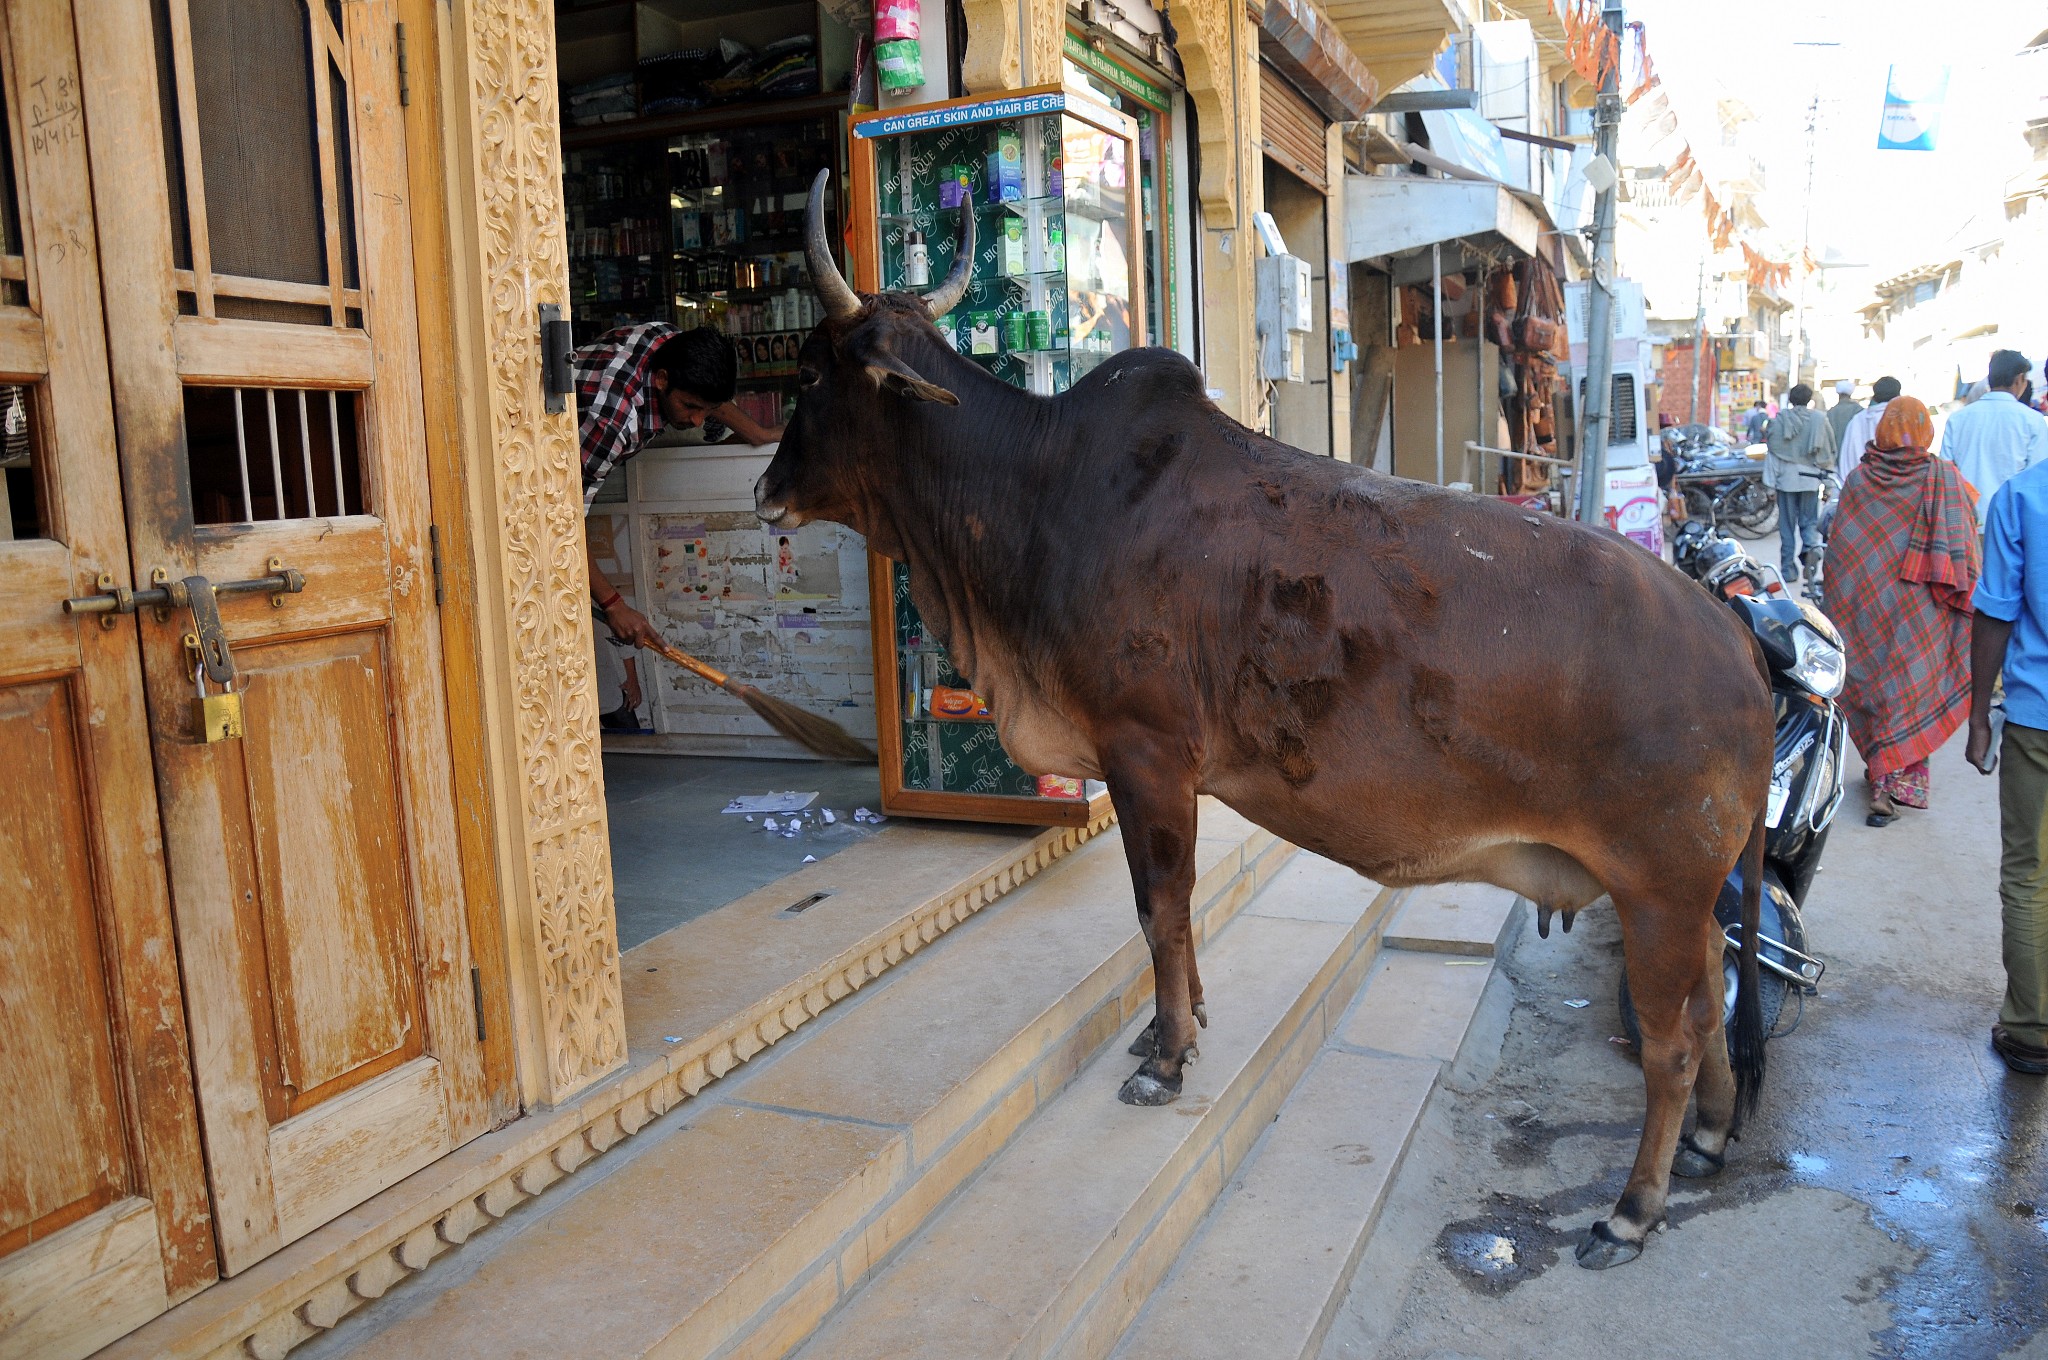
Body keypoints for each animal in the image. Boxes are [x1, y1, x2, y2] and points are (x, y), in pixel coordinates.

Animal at [761, 175, 1785, 1269]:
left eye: (811, 372)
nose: (764, 488)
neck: (1032, 494)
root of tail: (1729, 631)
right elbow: (1166, 917)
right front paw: (1176, 1025)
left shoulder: (1146, 756)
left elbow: (1160, 908)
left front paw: (1166, 1056)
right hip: (1684, 896)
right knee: (1713, 992)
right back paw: (1707, 1141)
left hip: (1655, 889)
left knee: (1673, 1038)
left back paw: (1631, 1208)